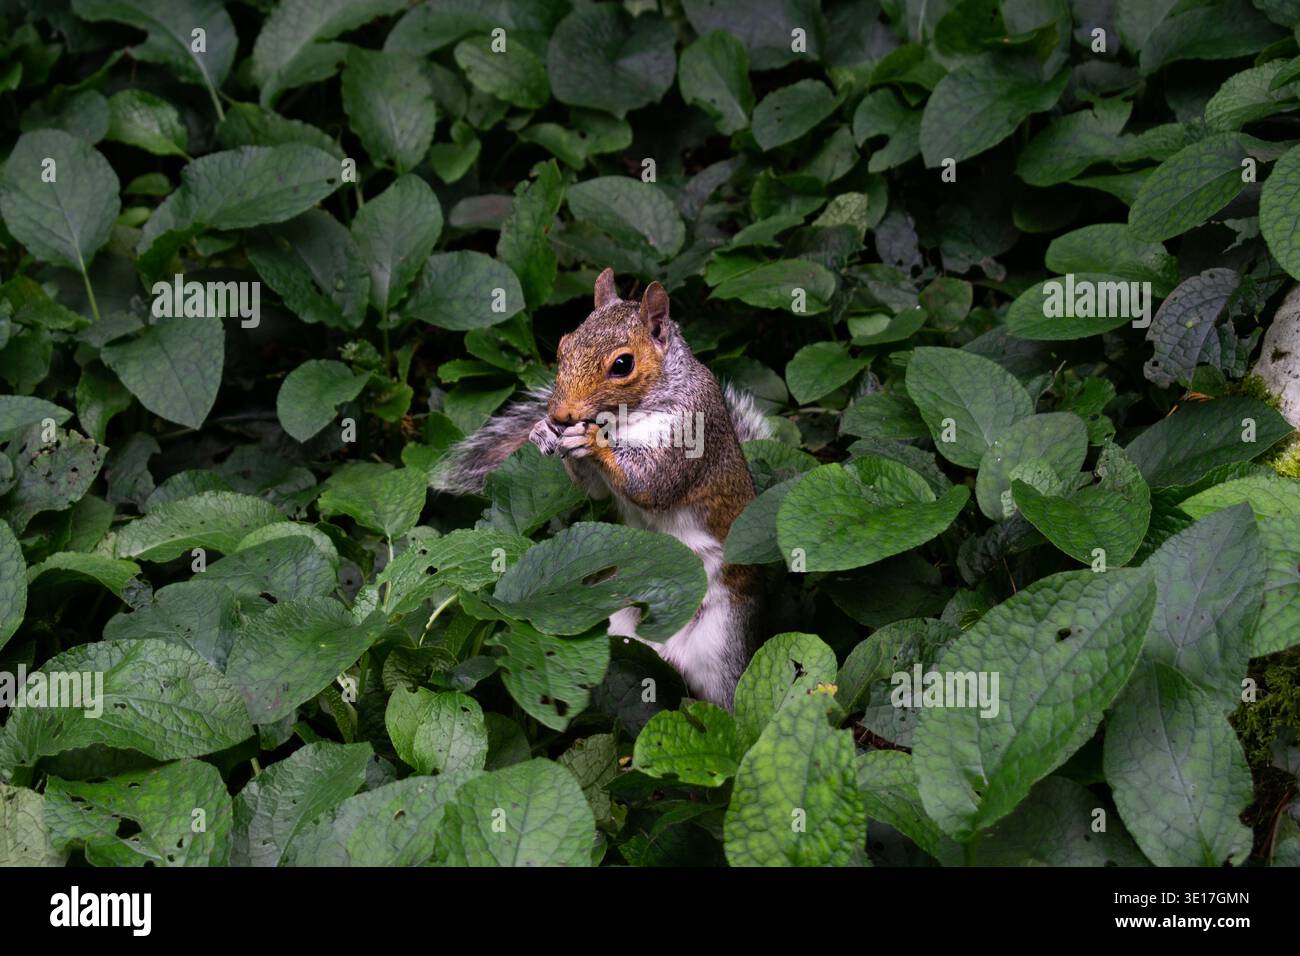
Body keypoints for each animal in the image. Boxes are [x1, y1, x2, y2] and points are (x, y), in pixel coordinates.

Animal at [434, 268, 771, 709]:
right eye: (563, 347)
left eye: (623, 364)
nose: (560, 415)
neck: (629, 416)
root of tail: (667, 648)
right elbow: (596, 493)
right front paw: (543, 432)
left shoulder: (689, 433)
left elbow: (651, 484)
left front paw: (593, 441)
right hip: (610, 627)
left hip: (724, 640)